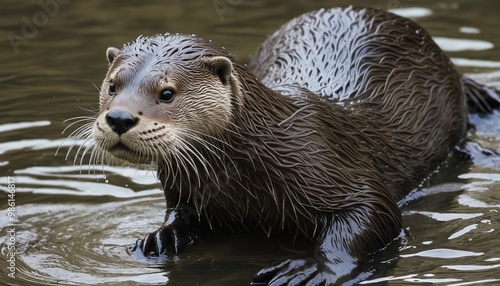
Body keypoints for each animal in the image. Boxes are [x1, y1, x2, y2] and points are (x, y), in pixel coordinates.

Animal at [83, 5, 500, 284]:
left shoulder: (327, 159)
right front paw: (161, 235)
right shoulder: (184, 186)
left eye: (167, 92)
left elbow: (376, 211)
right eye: (113, 85)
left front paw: (313, 268)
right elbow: (179, 212)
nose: (119, 118)